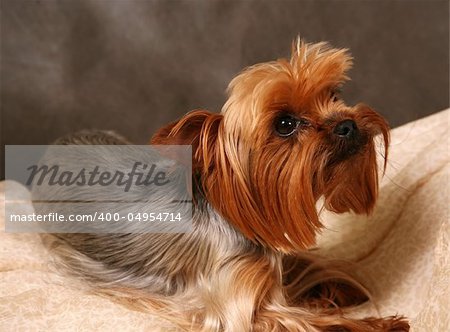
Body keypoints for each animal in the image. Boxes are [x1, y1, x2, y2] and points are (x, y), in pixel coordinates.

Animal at [44, 39, 408, 332]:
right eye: (285, 124)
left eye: (334, 95)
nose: (348, 124)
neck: (233, 218)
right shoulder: (238, 305)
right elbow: (307, 321)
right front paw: (382, 324)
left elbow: (304, 265)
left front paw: (341, 287)